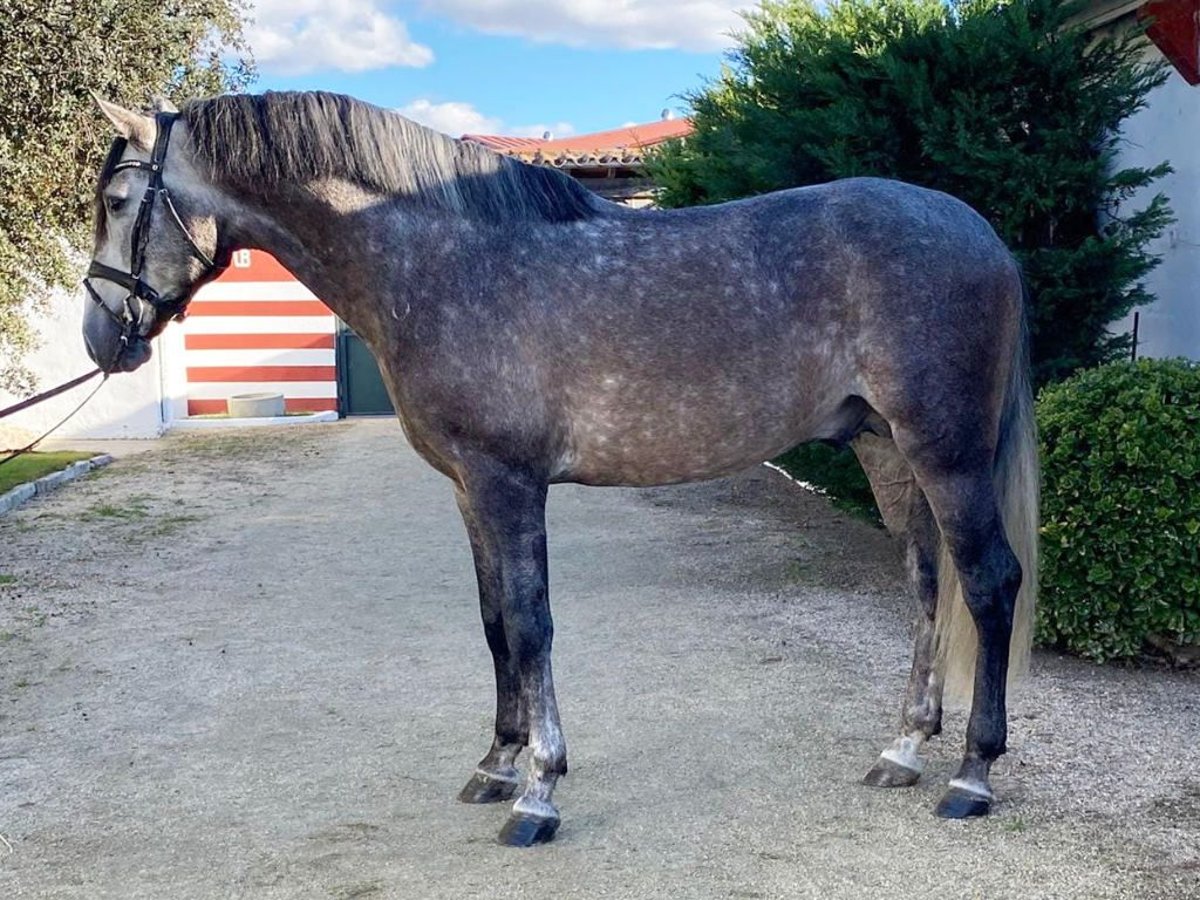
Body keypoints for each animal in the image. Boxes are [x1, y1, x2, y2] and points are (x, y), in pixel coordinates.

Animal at [87, 90, 1041, 844]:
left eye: (118, 197)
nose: (103, 339)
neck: (444, 263)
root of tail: (983, 234)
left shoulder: (509, 484)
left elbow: (532, 625)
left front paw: (538, 792)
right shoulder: (470, 490)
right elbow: (493, 625)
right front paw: (496, 765)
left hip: (946, 452)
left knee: (990, 582)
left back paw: (972, 775)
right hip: (886, 450)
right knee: (928, 584)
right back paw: (903, 750)